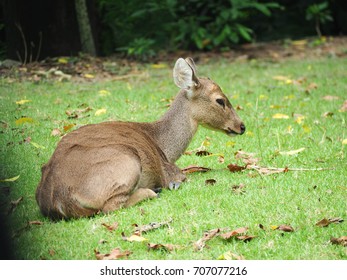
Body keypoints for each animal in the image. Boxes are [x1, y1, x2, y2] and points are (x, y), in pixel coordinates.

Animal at [36, 57, 245, 219]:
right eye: (220, 100)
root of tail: (59, 199)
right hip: (126, 162)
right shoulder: (171, 171)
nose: (242, 126)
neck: (163, 146)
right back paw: (154, 191)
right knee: (111, 207)